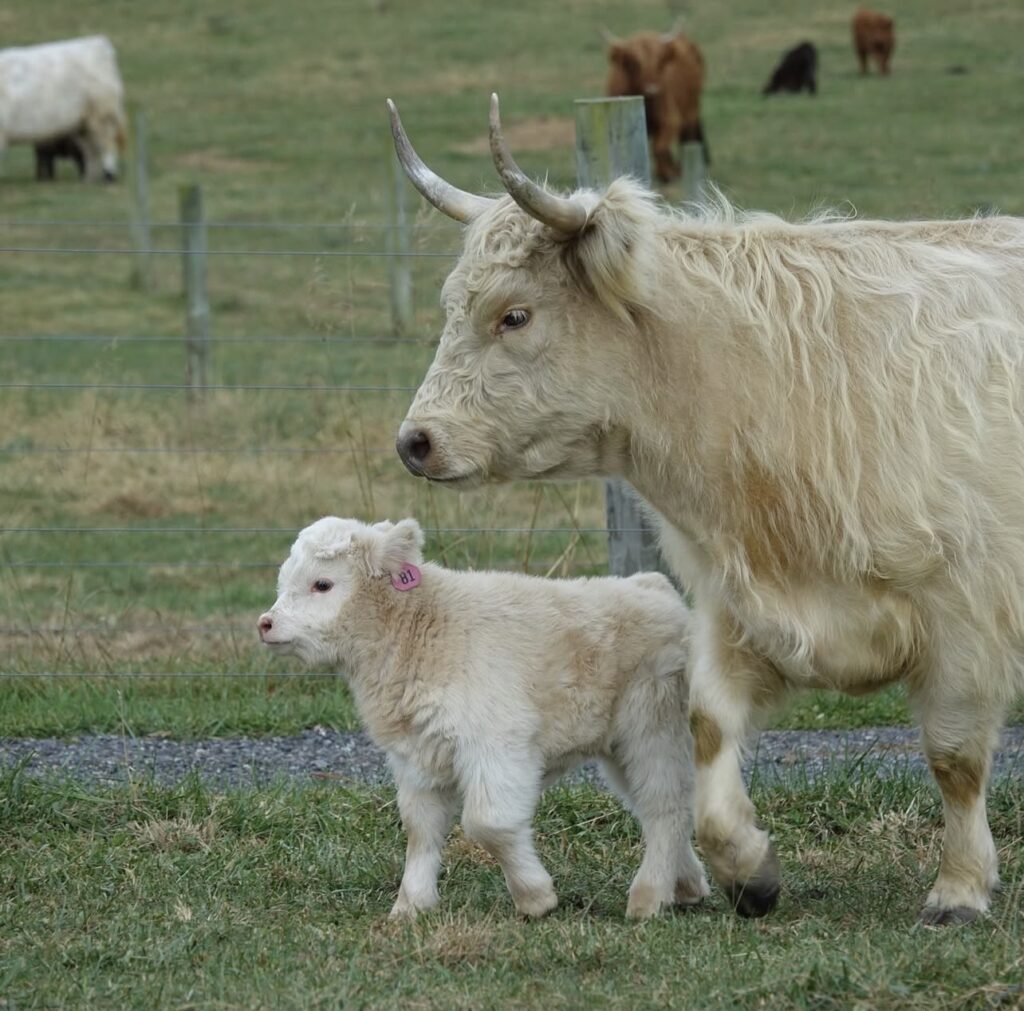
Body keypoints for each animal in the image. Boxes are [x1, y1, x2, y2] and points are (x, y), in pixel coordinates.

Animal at [0, 36, 127, 181]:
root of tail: (99, 43)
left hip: (101, 117)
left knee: (106, 147)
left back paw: (109, 176)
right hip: (83, 125)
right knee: (91, 151)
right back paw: (88, 180)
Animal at [387, 95, 1024, 926]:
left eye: (515, 315)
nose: (415, 441)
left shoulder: (965, 610)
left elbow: (954, 756)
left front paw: (959, 887)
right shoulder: (733, 604)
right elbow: (707, 728)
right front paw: (748, 868)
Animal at [604, 25, 708, 183]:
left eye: (659, 62)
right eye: (634, 62)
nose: (652, 90)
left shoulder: (671, 120)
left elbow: (659, 147)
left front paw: (667, 174)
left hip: (691, 108)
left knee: (687, 139)